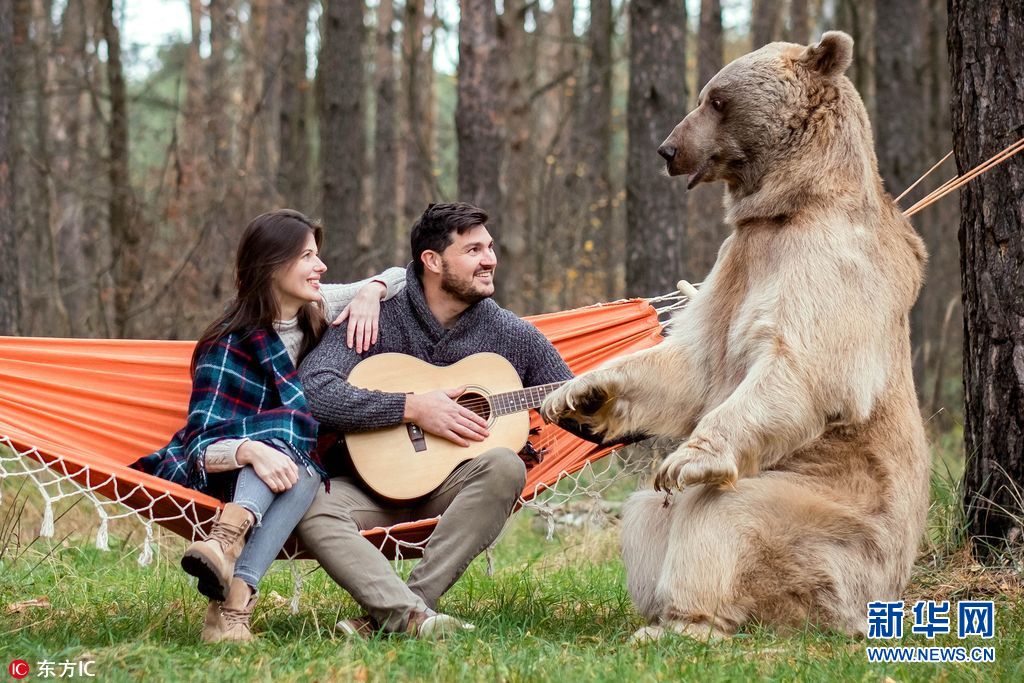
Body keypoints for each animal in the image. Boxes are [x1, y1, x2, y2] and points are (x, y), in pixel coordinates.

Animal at [540, 31, 933, 643]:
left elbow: (804, 364)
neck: (786, 204)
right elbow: (691, 364)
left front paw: (684, 459)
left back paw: (686, 622)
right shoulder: (737, 262)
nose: (667, 149)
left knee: (725, 518)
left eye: (717, 100)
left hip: (838, 522)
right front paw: (578, 391)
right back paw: (658, 609)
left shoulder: (829, 259)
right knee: (645, 518)